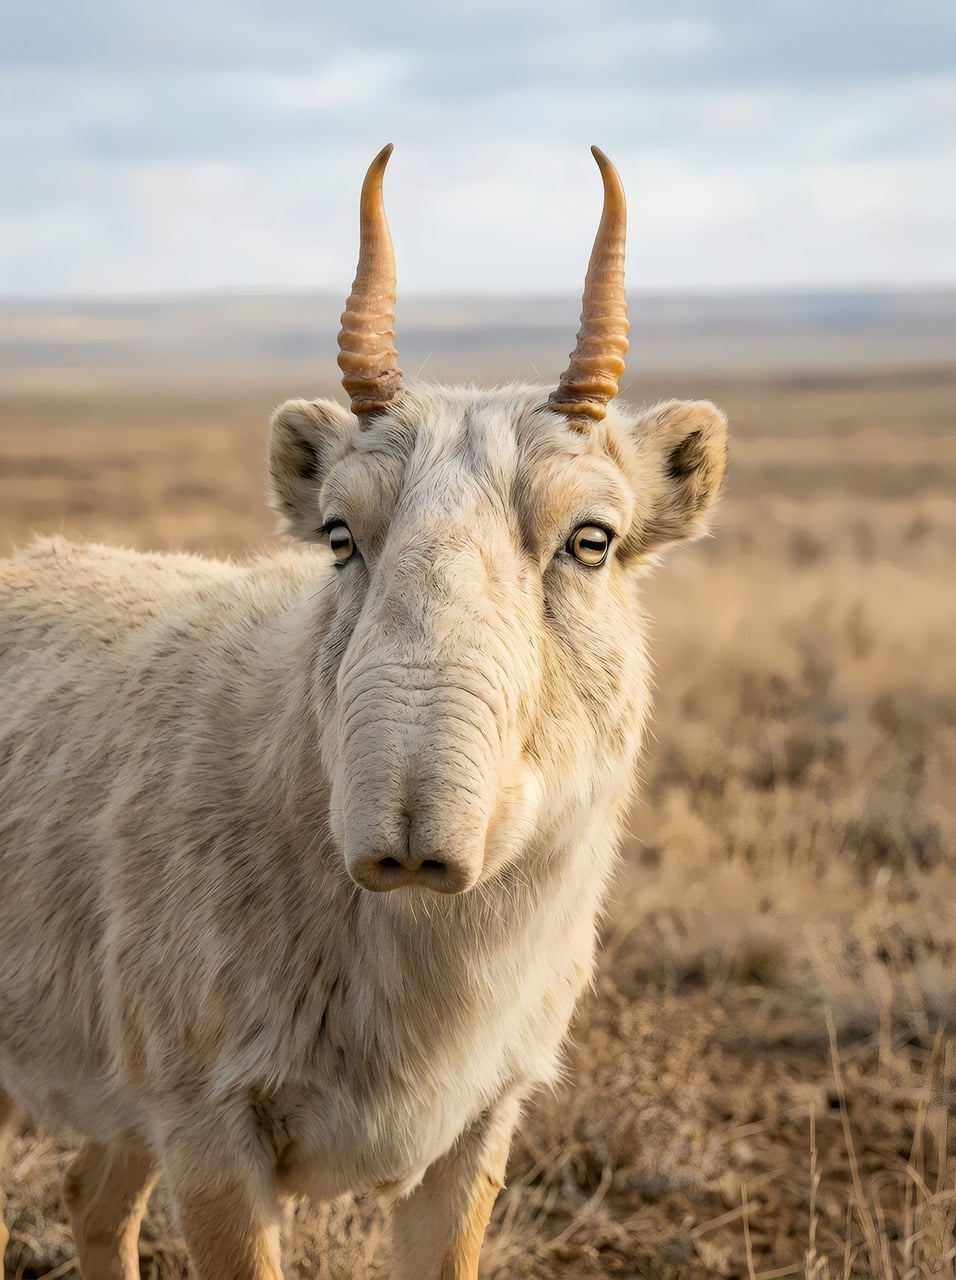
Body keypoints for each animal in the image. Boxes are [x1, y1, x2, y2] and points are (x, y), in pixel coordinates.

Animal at [0, 145, 727, 1279]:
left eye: (592, 540)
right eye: (340, 534)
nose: (408, 826)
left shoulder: (476, 1131)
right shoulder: (208, 1133)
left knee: (90, 1197)